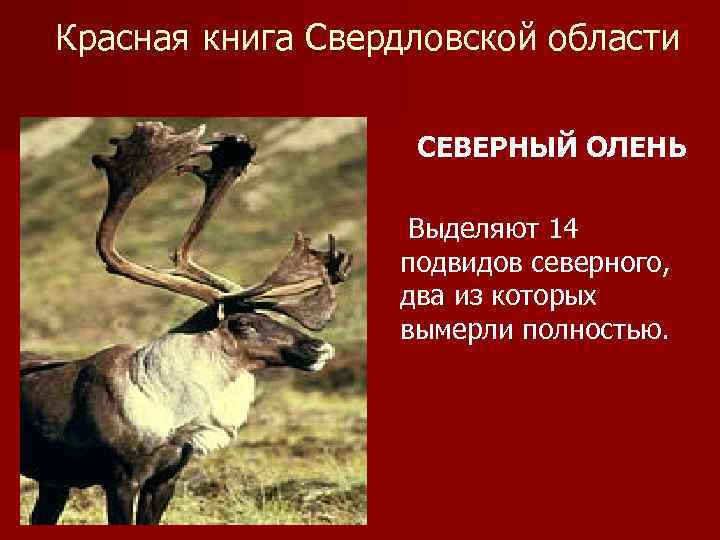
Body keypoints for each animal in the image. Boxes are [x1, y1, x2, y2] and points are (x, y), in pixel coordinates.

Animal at [20, 121, 353, 525]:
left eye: (270, 315)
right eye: (242, 323)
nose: (321, 347)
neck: (170, 412)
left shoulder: (166, 479)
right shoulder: (121, 479)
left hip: (54, 481)